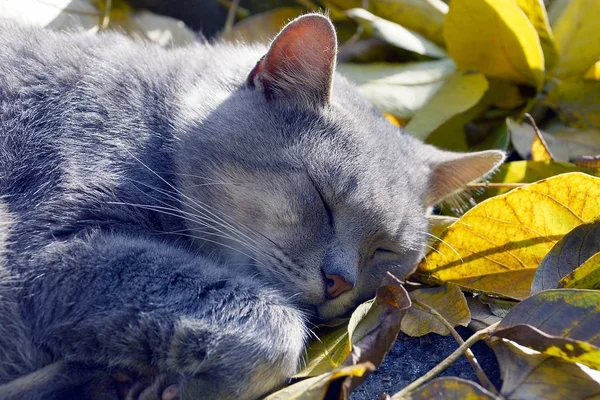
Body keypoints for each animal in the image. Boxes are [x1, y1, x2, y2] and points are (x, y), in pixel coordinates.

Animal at [0, 13, 504, 400]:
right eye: (321, 200)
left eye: (386, 251)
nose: (339, 282)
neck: (150, 125)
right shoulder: (43, 253)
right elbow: (276, 327)